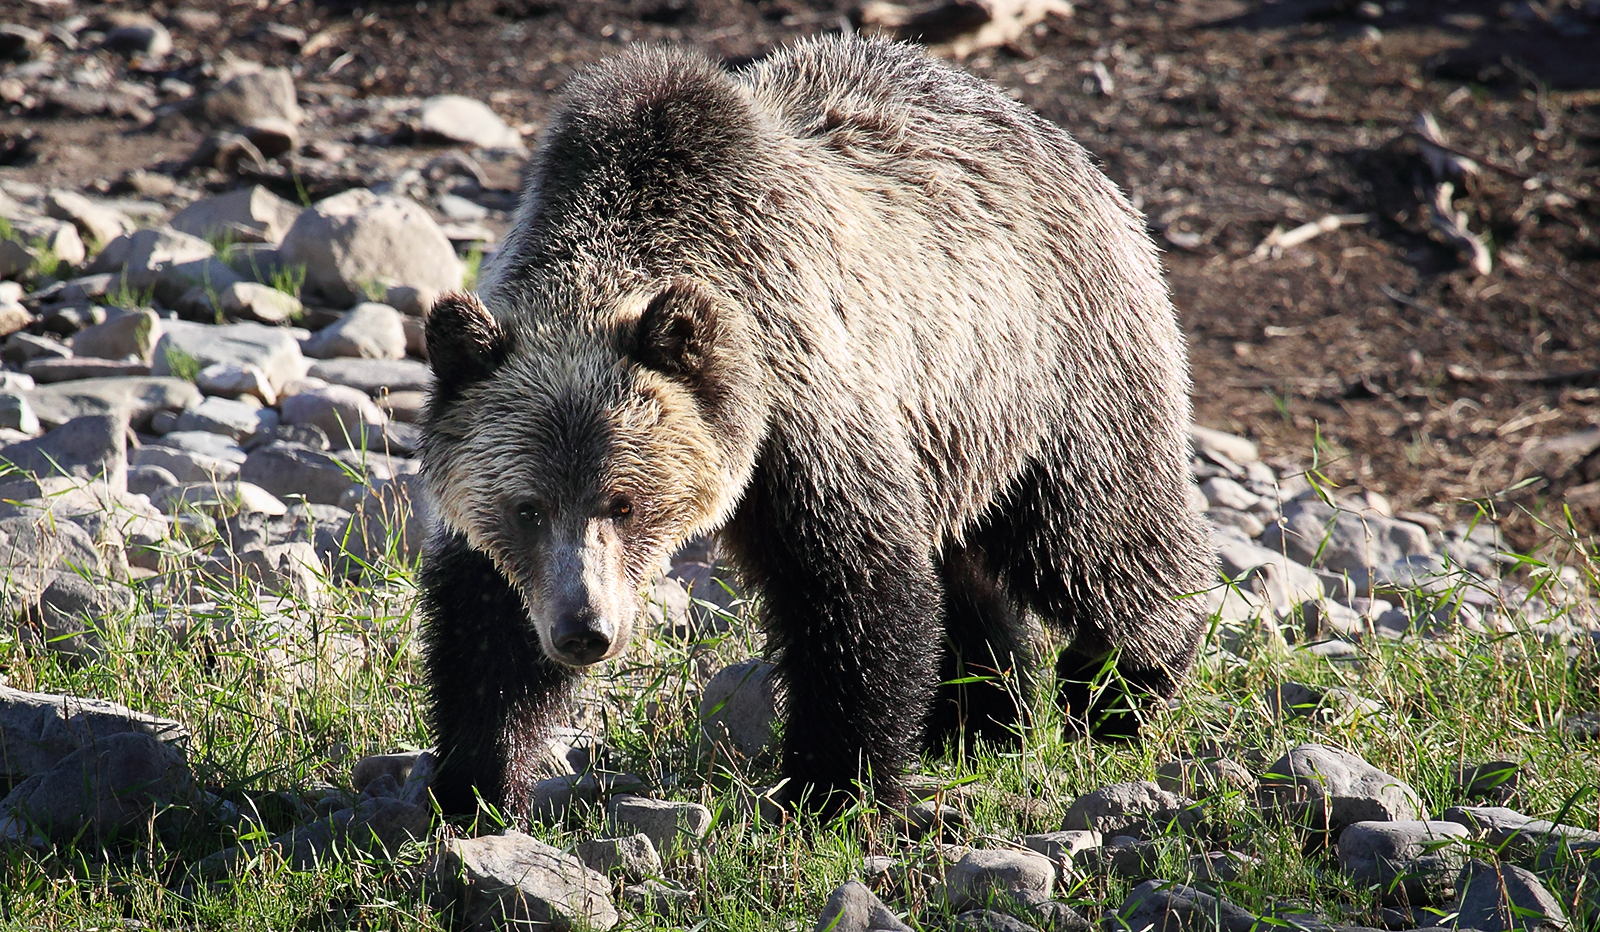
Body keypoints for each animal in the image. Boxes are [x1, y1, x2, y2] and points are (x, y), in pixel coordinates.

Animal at [419, 34, 1216, 819]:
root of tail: (1072, 151)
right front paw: (480, 781)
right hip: (955, 433)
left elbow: (854, 589)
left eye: (625, 503)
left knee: (1096, 534)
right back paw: (980, 719)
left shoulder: (807, 406)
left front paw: (831, 784)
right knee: (972, 570)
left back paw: (1120, 686)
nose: (584, 630)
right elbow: (486, 620)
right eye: (527, 508)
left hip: (1049, 376)